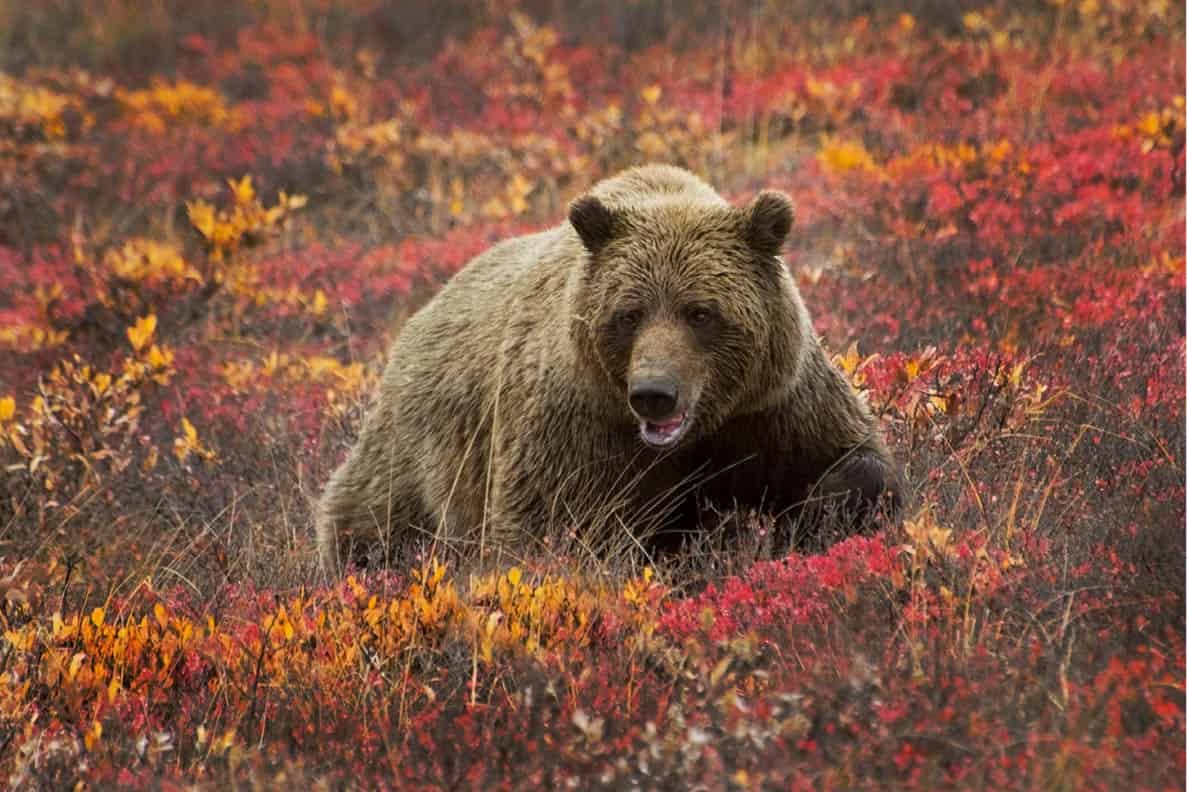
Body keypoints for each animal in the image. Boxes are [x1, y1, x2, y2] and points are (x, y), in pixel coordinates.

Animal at [315, 166, 897, 577]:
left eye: (700, 312)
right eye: (630, 313)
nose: (655, 393)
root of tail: (421, 313)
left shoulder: (775, 405)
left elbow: (854, 461)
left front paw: (829, 507)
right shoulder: (576, 426)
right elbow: (549, 531)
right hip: (417, 454)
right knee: (372, 522)